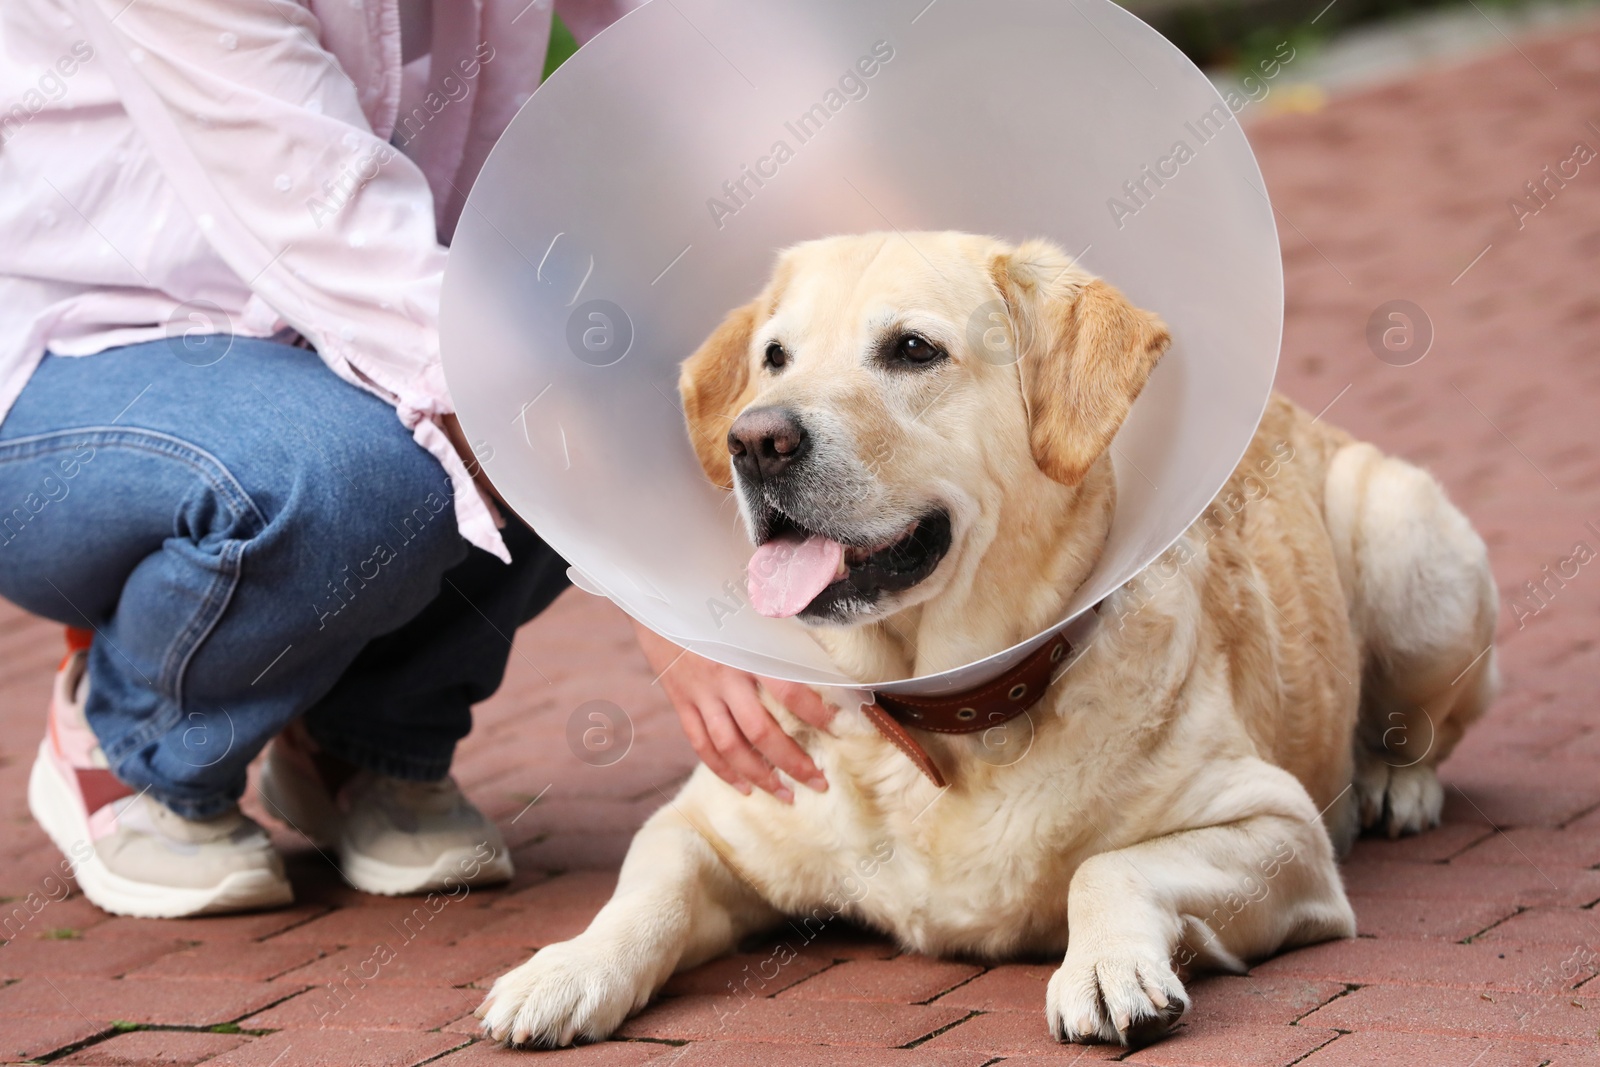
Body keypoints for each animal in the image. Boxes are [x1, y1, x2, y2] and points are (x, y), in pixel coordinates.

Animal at [476, 235, 1497, 1049]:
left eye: (912, 348)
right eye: (773, 358)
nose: (754, 440)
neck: (940, 713)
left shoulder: (1280, 831)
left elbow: (1107, 863)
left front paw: (1106, 968)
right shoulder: (705, 820)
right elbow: (641, 893)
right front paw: (565, 969)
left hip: (1406, 542)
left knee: (1425, 724)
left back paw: (1395, 781)